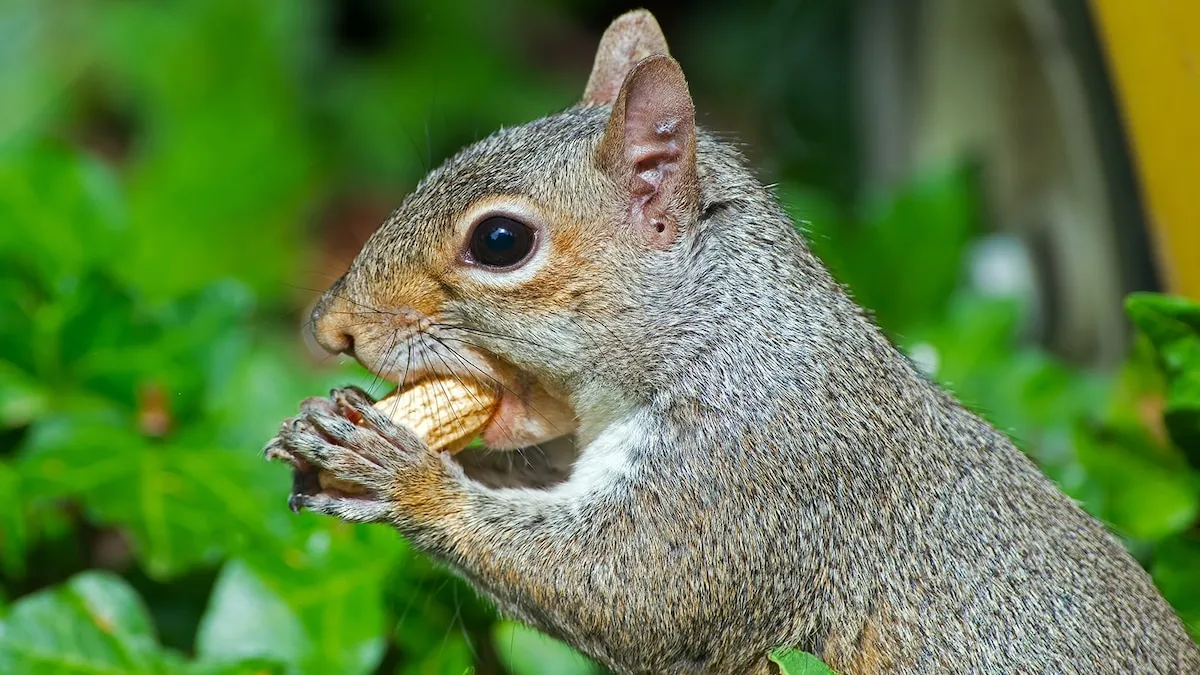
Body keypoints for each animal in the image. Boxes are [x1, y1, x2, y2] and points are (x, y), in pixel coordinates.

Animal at [263, 9, 1200, 674]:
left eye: (500, 242)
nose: (330, 325)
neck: (720, 331)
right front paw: (327, 427)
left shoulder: (751, 473)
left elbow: (626, 589)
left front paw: (402, 473)